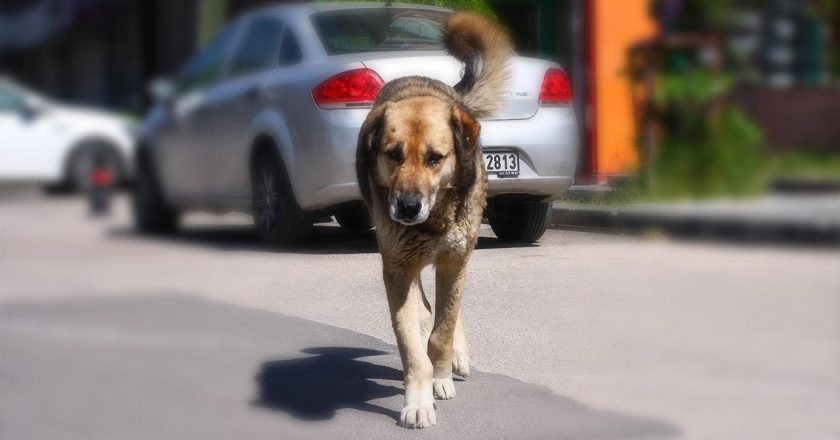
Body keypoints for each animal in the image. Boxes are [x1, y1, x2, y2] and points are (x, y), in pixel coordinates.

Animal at [354, 12, 512, 426]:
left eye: (434, 158)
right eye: (393, 154)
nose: (407, 207)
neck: (433, 221)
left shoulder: (454, 262)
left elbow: (442, 331)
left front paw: (441, 375)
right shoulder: (396, 268)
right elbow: (412, 344)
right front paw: (418, 399)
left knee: (446, 314)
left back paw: (455, 355)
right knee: (425, 309)